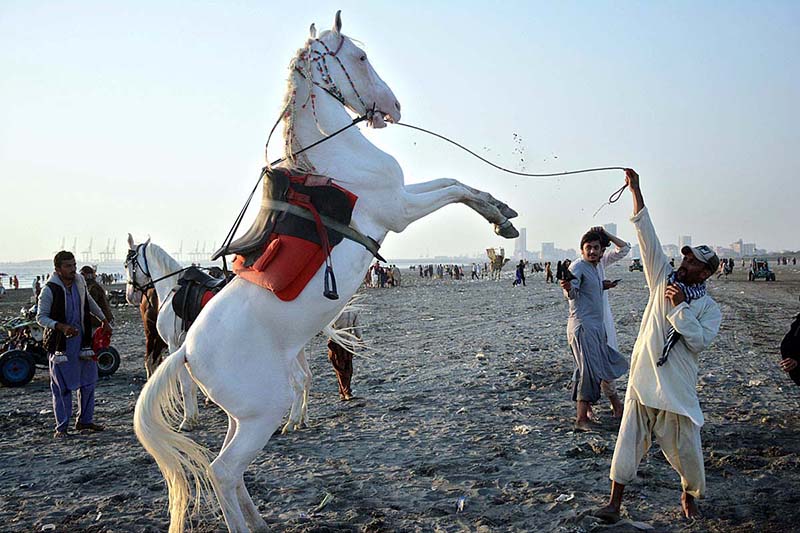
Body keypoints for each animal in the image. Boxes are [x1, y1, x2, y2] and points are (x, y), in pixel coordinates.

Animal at [133, 11, 520, 528]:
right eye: (360, 56)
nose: (394, 107)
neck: (336, 162)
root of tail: (188, 354)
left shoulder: (402, 196)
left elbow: (453, 180)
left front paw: (501, 212)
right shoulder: (399, 208)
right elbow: (452, 188)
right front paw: (499, 218)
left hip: (243, 414)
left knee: (229, 469)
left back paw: (259, 522)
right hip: (261, 414)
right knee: (221, 471)